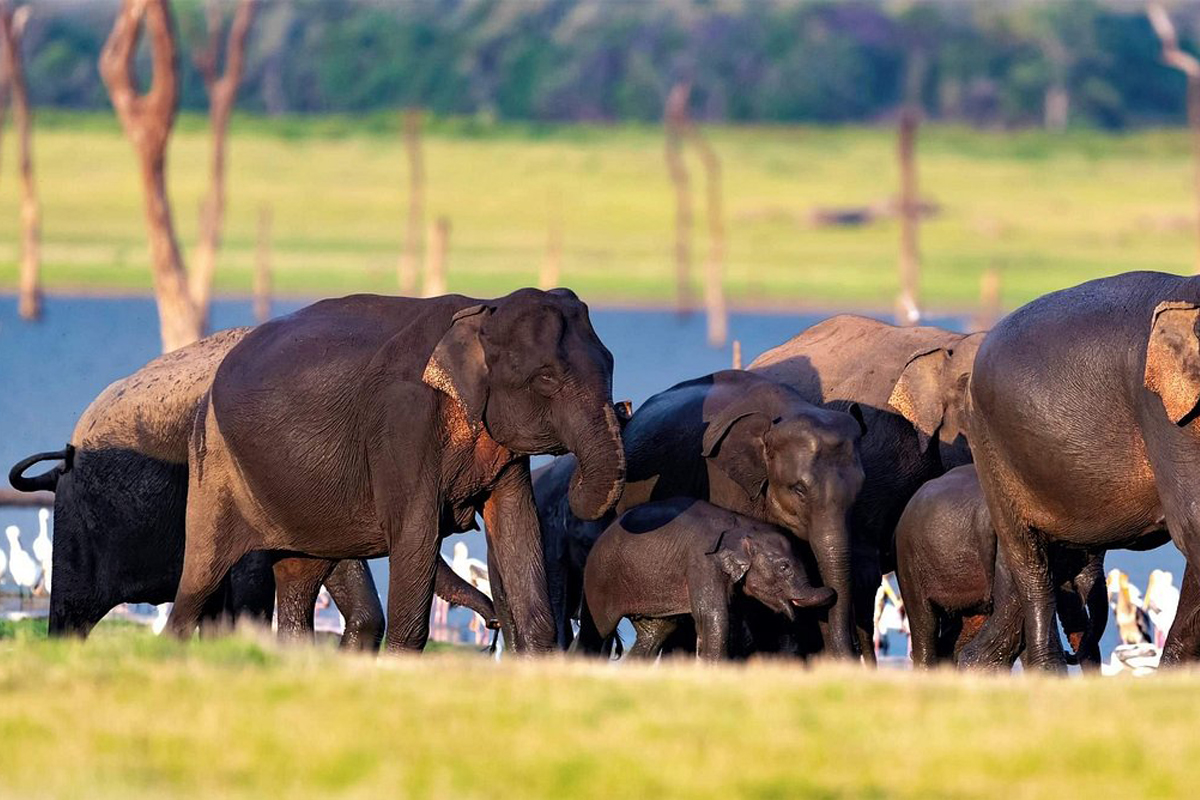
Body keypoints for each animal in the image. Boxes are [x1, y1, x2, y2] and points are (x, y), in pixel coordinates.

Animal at [174, 287, 628, 652]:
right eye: (546, 378)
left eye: (611, 362)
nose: (492, 624)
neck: (483, 309)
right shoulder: (403, 422)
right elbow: (416, 532)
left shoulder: (502, 448)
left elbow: (518, 527)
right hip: (214, 464)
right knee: (199, 580)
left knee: (299, 577)